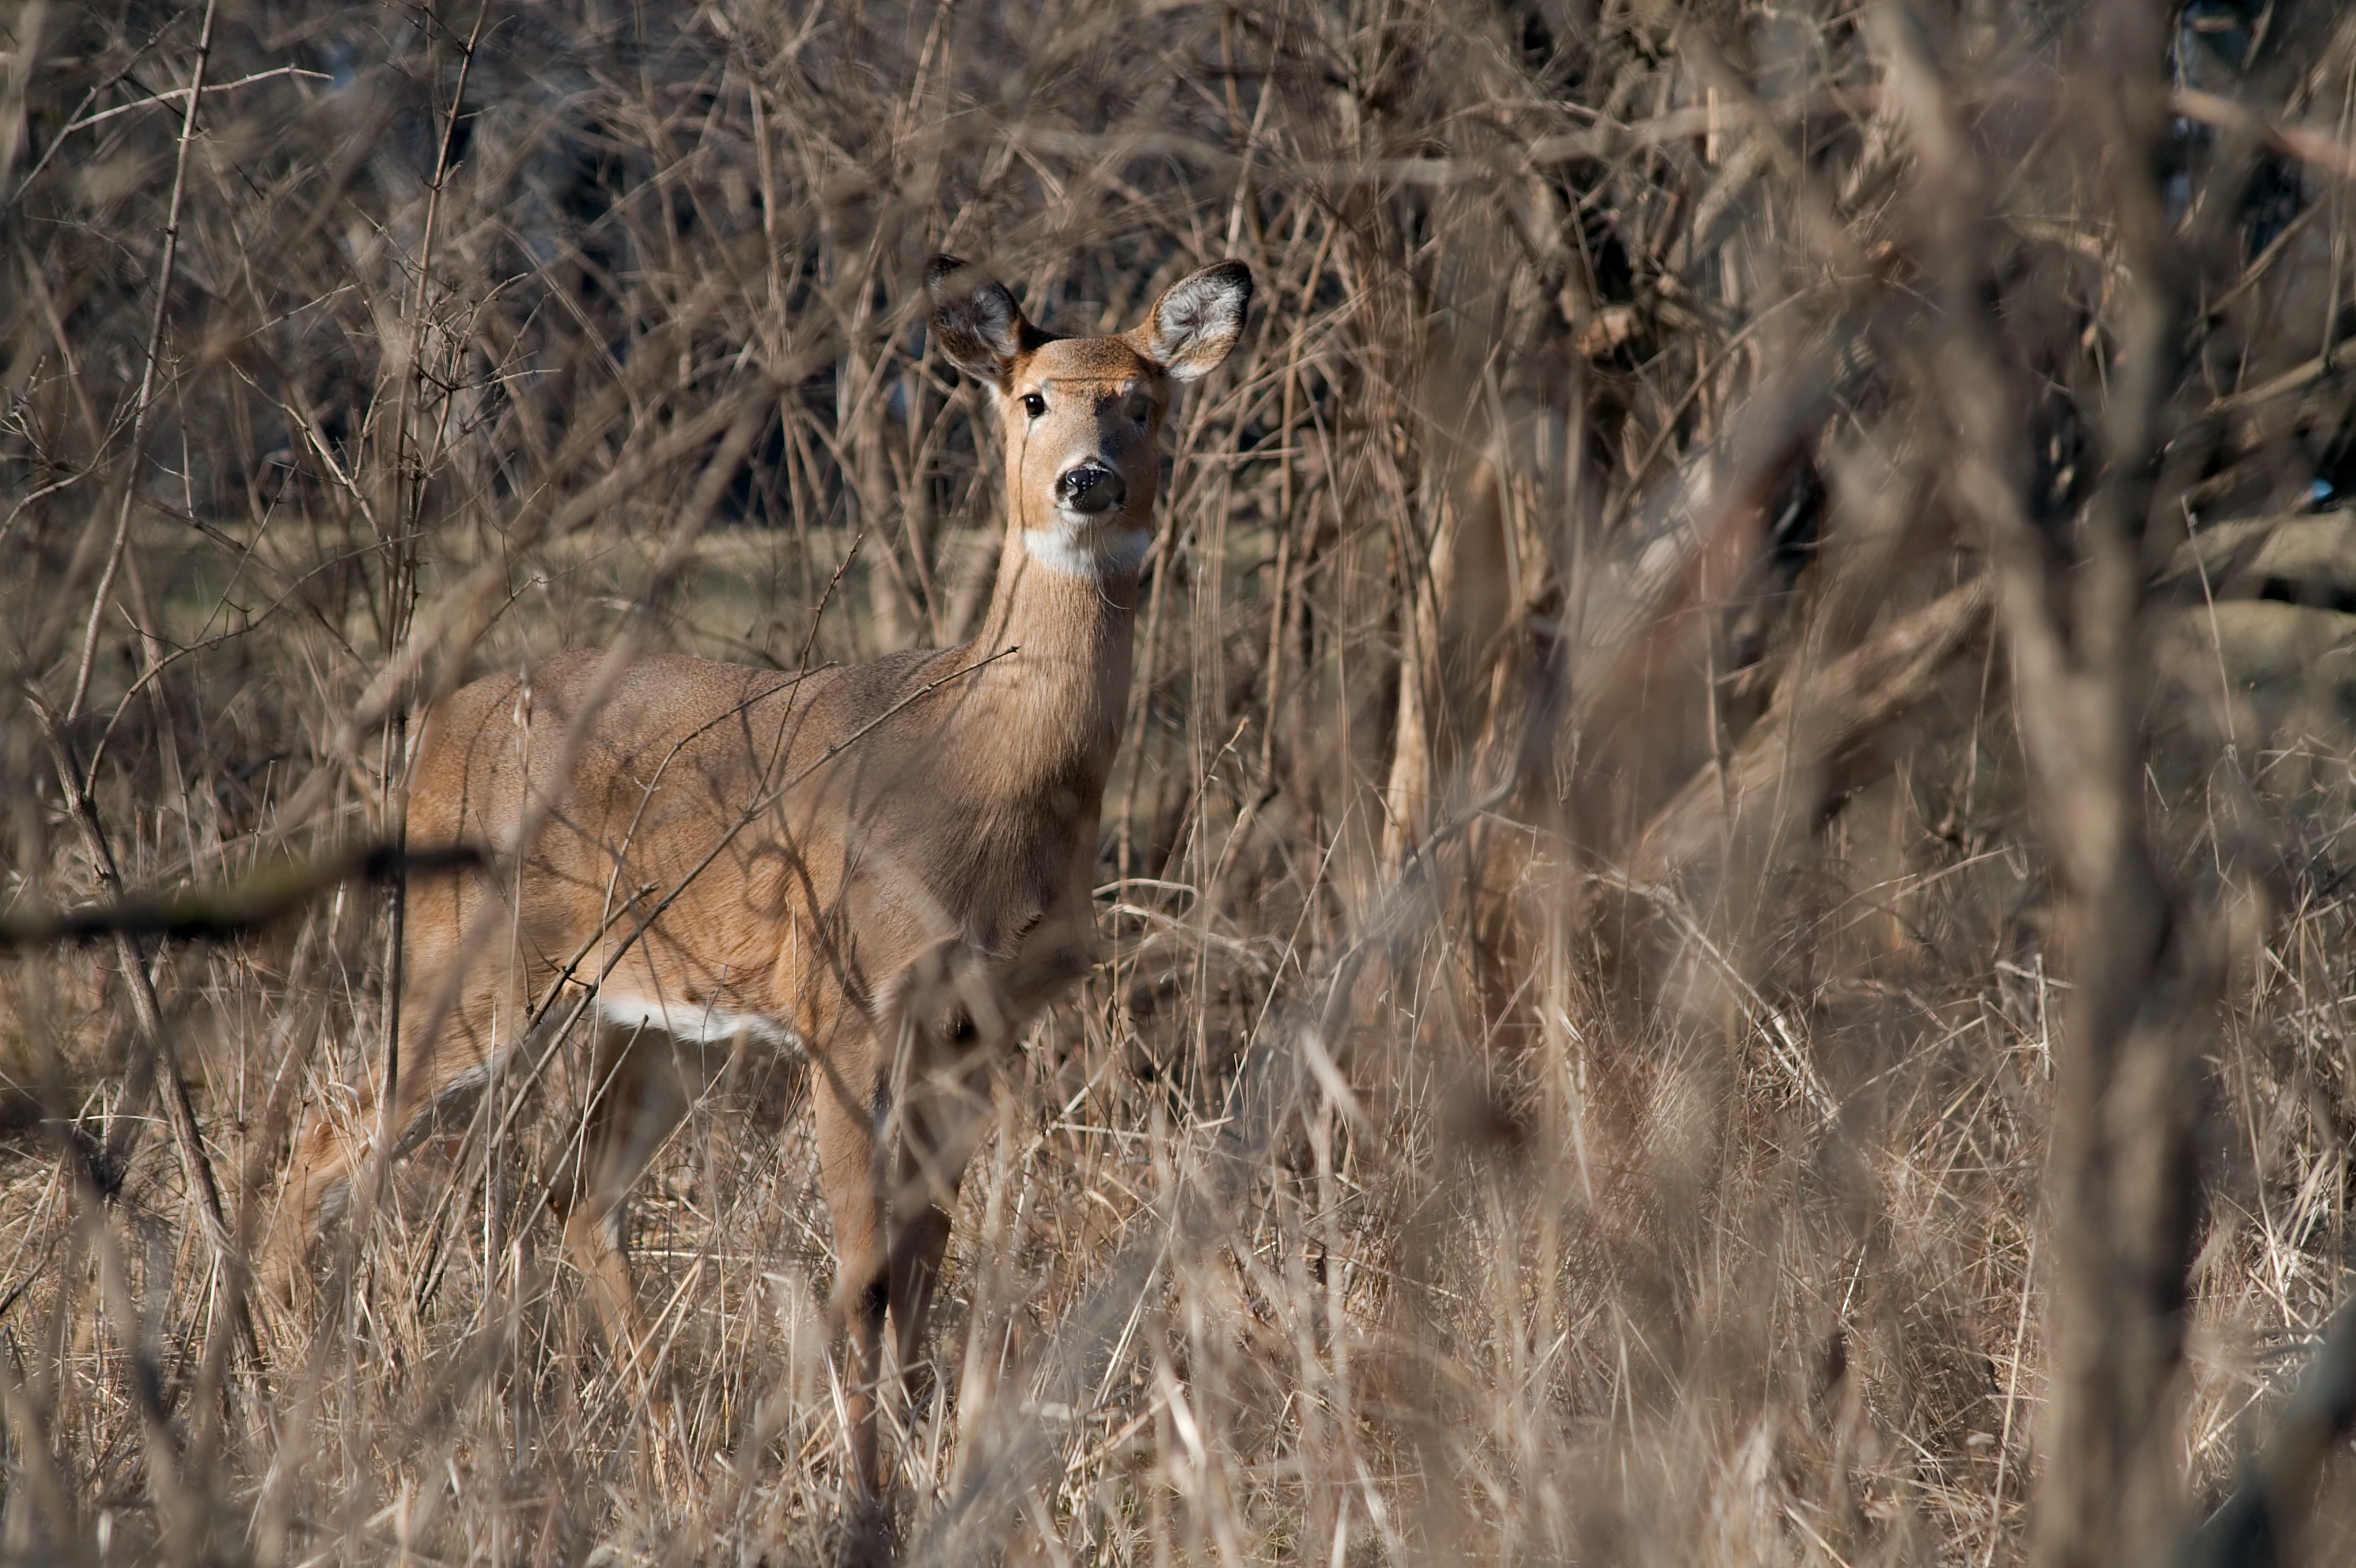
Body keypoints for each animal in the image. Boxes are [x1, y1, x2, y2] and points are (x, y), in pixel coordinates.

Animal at [264, 253, 1253, 1502]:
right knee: (327, 1135)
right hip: (474, 961)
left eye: (1143, 401)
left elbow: (927, 1259)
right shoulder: (847, 1003)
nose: (1087, 480)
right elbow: (866, 1266)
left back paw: (661, 1449)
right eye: (1034, 398)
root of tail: (431, 732)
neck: (980, 773)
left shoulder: (977, 1024)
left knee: (577, 1194)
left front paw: (919, 1454)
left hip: (654, 1017)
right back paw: (278, 1388)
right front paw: (865, 1483)